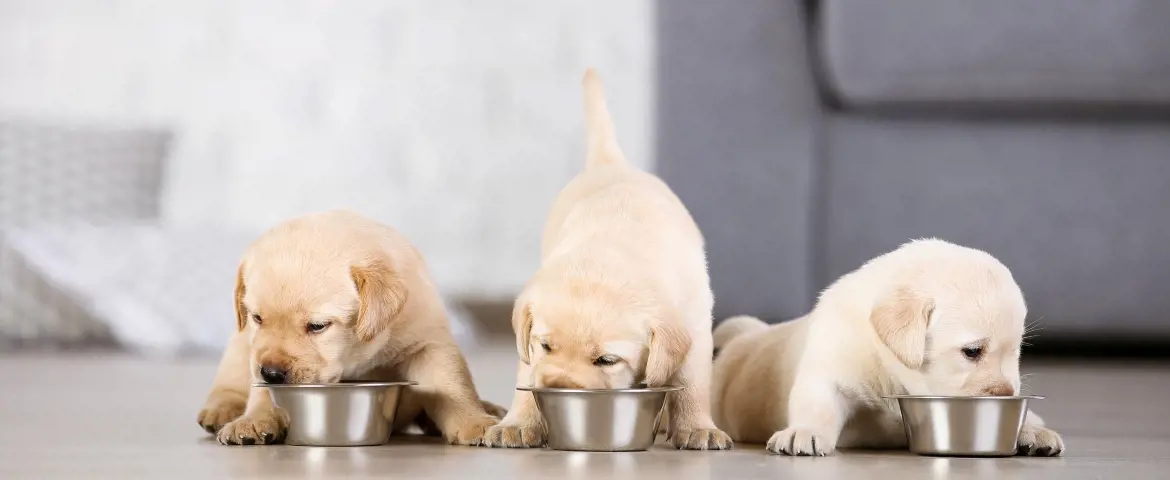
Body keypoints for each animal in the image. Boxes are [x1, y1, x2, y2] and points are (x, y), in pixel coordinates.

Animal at [196, 209, 498, 447]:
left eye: (317, 326)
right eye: (258, 318)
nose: (270, 373)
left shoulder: (427, 343)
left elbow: (451, 385)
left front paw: (475, 421)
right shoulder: (255, 350)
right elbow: (261, 393)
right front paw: (254, 420)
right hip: (238, 347)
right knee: (229, 383)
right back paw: (221, 411)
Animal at [479, 68, 725, 449]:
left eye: (607, 360)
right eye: (546, 345)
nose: (558, 386)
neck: (609, 254)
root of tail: (612, 162)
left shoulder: (696, 324)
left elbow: (691, 383)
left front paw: (697, 427)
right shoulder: (531, 347)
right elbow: (527, 373)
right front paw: (519, 422)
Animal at [706, 239, 1067, 456]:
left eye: (1017, 351)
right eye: (972, 351)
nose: (1007, 394)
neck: (893, 374)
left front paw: (1030, 429)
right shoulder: (831, 365)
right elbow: (818, 403)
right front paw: (804, 431)